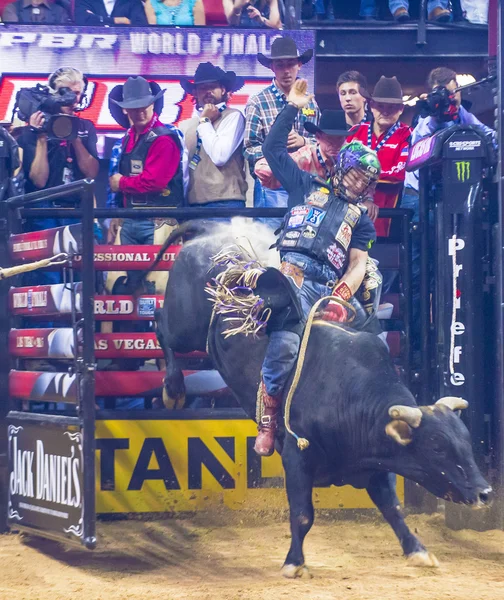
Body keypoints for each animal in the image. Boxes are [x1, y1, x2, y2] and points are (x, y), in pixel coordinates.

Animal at [151, 220, 492, 576]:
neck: (347, 393)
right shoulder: (296, 457)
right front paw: (294, 563)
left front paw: (419, 551)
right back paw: (173, 390)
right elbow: (303, 515)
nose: (484, 493)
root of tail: (213, 229)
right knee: (162, 326)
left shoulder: (375, 463)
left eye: (466, 441)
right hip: (184, 324)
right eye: (437, 446)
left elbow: (393, 509)